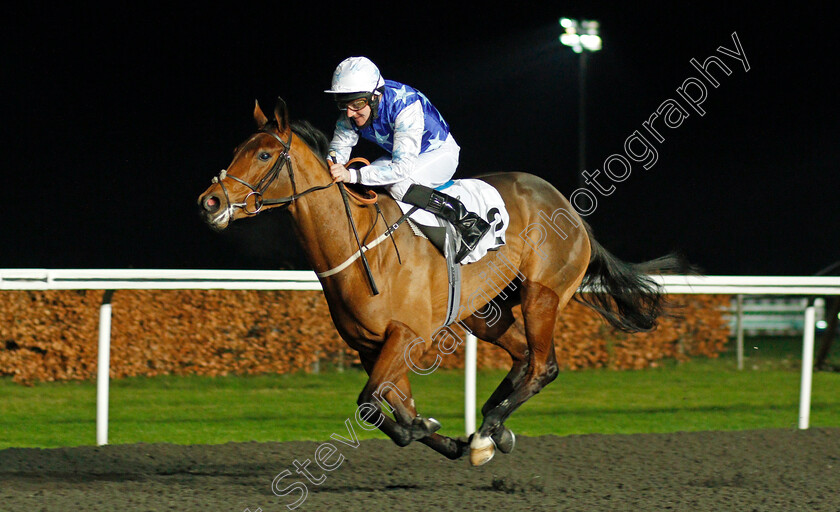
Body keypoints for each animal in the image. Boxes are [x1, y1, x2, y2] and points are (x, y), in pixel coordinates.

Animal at [199, 98, 684, 466]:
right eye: (239, 148)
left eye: (264, 154)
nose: (210, 201)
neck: (361, 247)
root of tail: (568, 206)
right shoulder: (370, 346)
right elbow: (391, 406)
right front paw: (438, 434)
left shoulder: (407, 335)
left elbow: (369, 403)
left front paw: (434, 431)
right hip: (485, 312)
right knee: (522, 357)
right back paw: (490, 424)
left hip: (541, 296)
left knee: (543, 366)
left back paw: (488, 430)